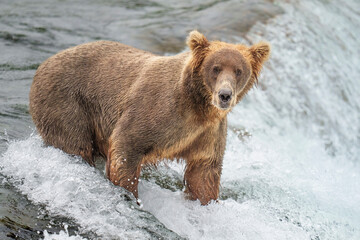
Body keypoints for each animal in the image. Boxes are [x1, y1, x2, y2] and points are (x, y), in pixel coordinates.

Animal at [29, 31, 268, 205]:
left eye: (238, 70)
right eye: (215, 68)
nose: (225, 95)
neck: (197, 107)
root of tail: (44, 63)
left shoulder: (206, 133)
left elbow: (203, 173)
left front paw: (206, 203)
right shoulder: (155, 110)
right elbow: (127, 146)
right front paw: (129, 193)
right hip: (67, 103)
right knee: (74, 144)